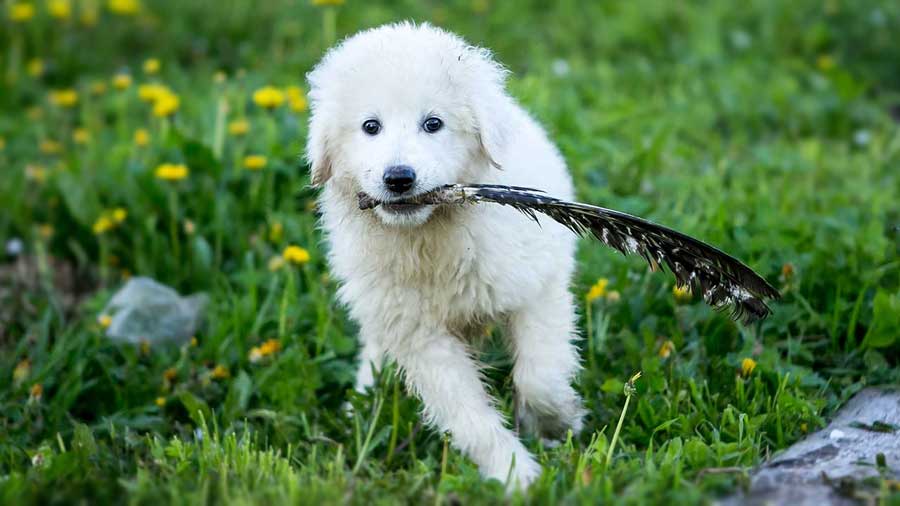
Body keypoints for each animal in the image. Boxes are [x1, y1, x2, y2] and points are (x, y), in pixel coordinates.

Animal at [306, 21, 584, 488]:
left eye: (433, 123)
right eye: (370, 126)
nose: (399, 178)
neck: (429, 237)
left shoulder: (537, 290)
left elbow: (540, 375)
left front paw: (557, 423)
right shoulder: (418, 335)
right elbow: (467, 413)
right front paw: (515, 474)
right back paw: (362, 402)